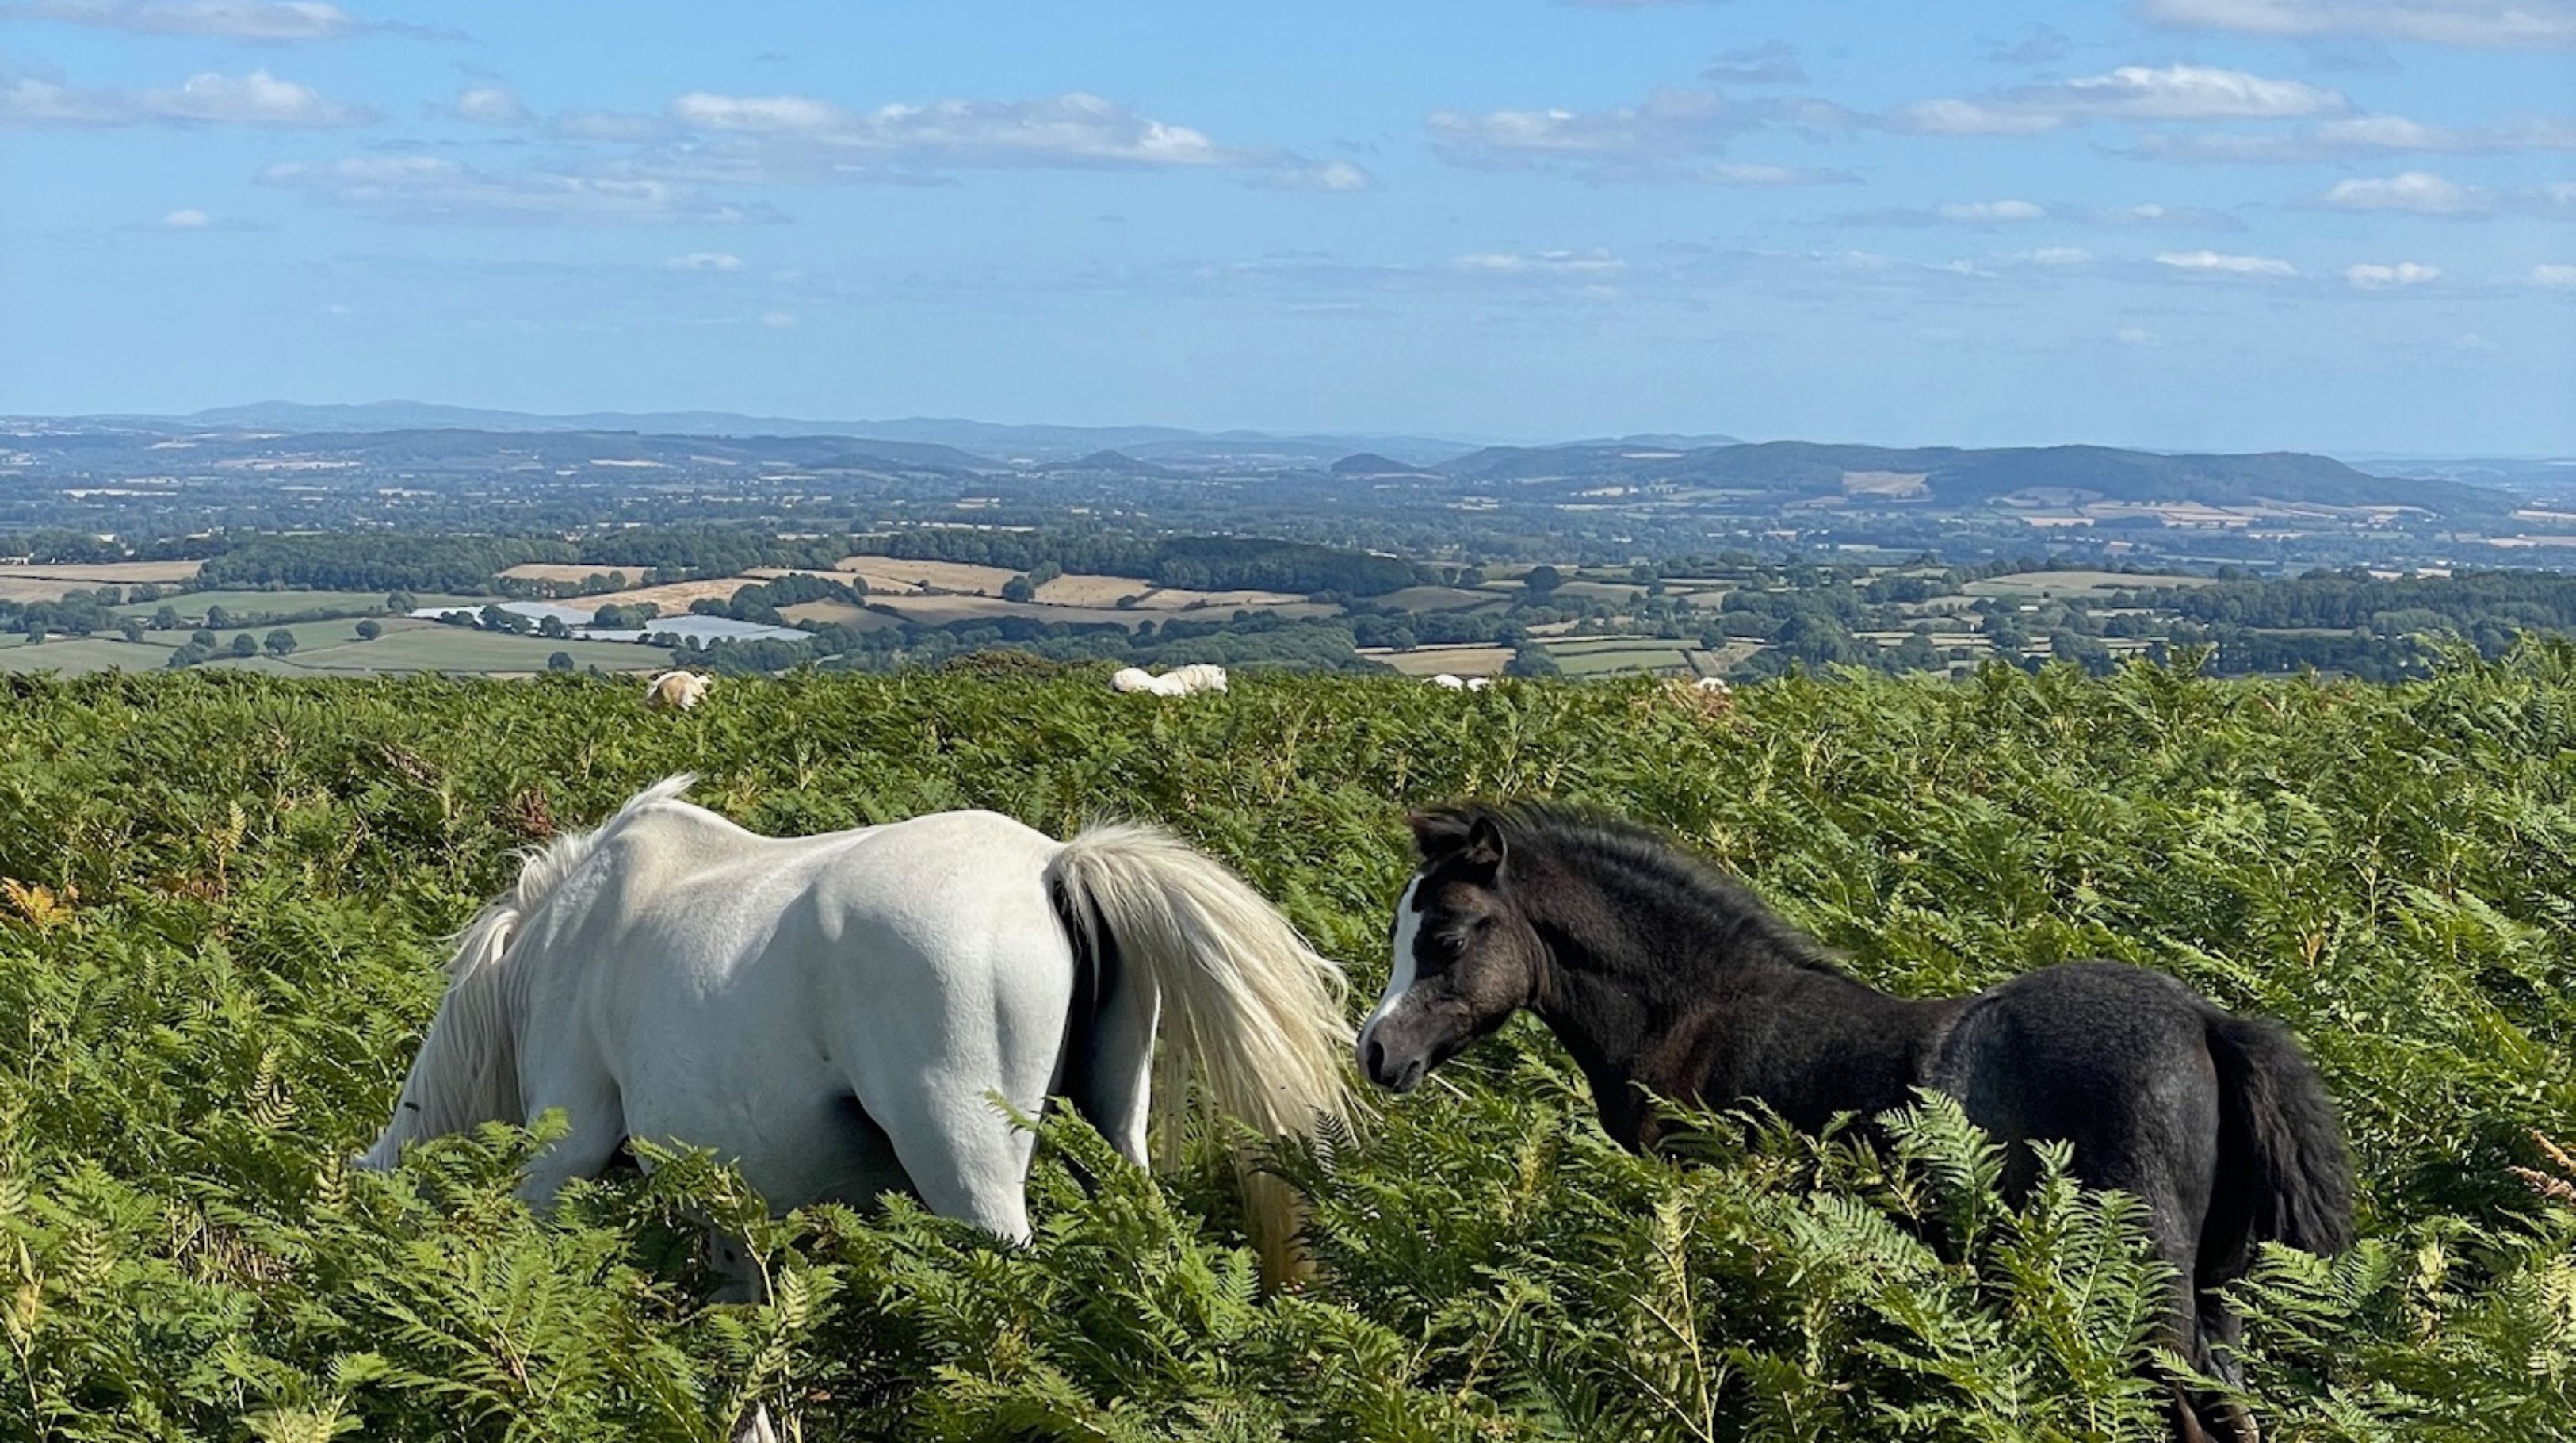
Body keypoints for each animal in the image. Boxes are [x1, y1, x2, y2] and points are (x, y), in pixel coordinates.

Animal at [361, 775, 1353, 1292]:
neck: (550, 948)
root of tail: (1052, 865)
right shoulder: (732, 1200)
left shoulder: (558, 1160)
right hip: (1112, 1136)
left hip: (970, 1168)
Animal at [1358, 802, 2353, 1443]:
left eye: (1445, 936)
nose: (1375, 1048)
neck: (1696, 1009)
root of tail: (2205, 1019)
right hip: (2212, 1304)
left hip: (2139, 1295)